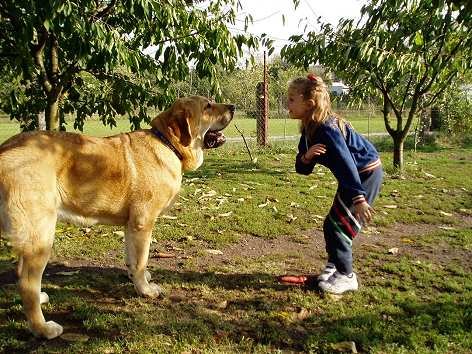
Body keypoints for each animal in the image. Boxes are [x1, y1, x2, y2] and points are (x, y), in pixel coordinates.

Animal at [0, 95, 234, 338]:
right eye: (208, 106)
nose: (233, 107)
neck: (167, 144)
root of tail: (5, 149)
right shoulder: (142, 223)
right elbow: (141, 260)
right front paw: (145, 290)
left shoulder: (131, 226)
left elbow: (132, 260)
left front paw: (139, 280)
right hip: (41, 234)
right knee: (27, 283)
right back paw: (42, 328)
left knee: (22, 274)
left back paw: (41, 299)